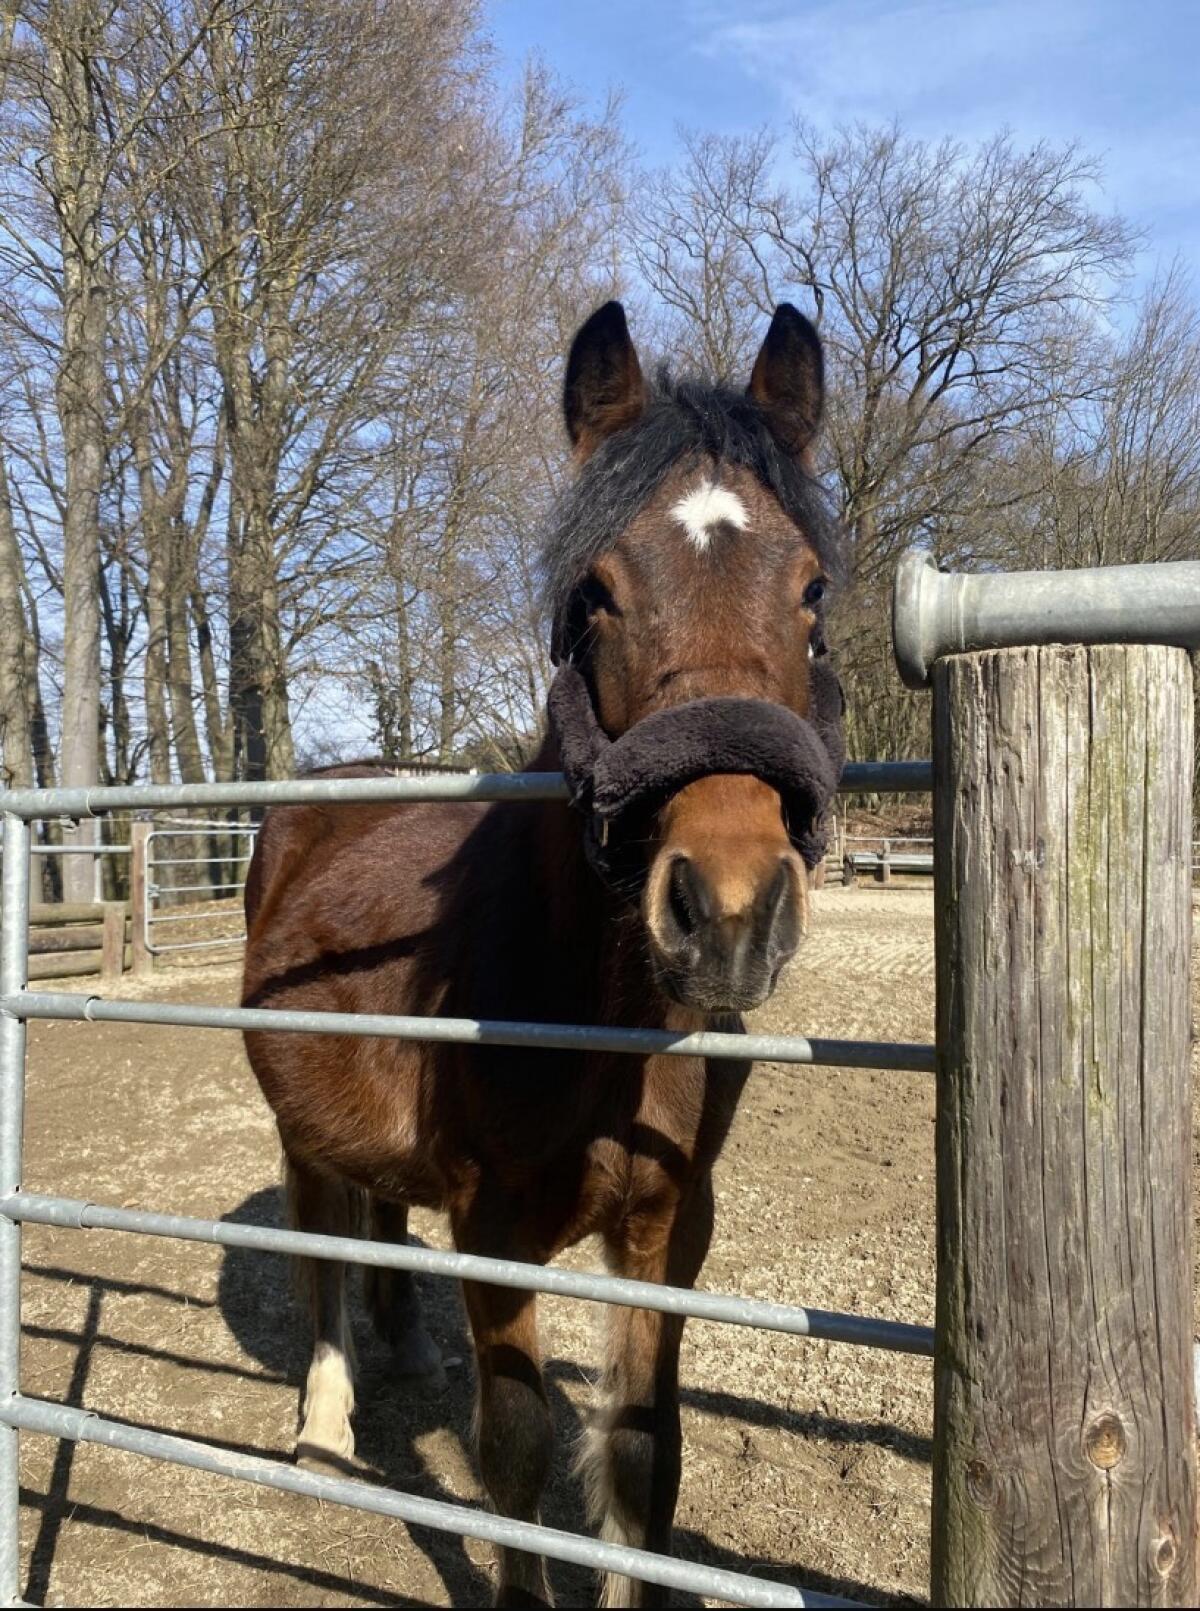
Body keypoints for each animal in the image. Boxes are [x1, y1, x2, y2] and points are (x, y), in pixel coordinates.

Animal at [241, 299, 846, 1607]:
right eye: (596, 594)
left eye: (814, 591)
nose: (728, 912)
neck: (598, 1017)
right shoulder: (499, 1231)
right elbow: (515, 1456)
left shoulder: (670, 1227)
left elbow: (644, 1460)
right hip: (296, 1127)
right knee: (320, 1247)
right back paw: (323, 1421)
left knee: (378, 1215)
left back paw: (406, 1343)